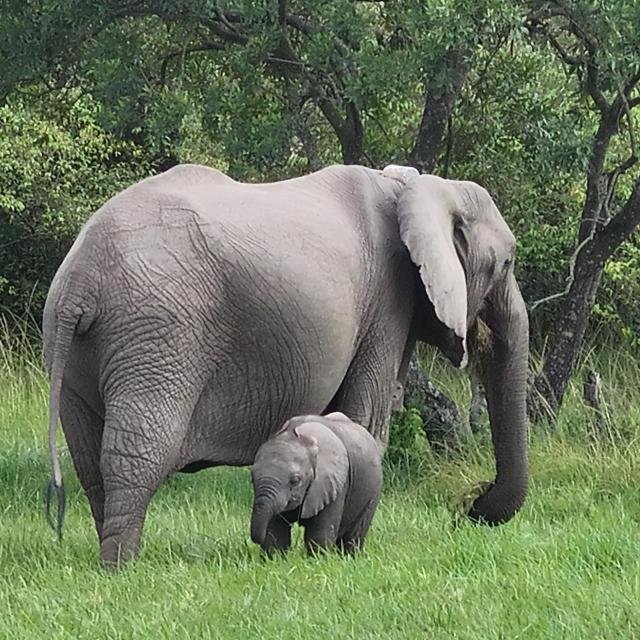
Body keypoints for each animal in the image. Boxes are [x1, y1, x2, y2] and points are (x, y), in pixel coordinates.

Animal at [250, 412, 383, 555]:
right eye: (252, 478)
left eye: (295, 481)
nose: (255, 540)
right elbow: (276, 533)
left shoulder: (335, 484)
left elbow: (319, 535)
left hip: (373, 492)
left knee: (354, 535)